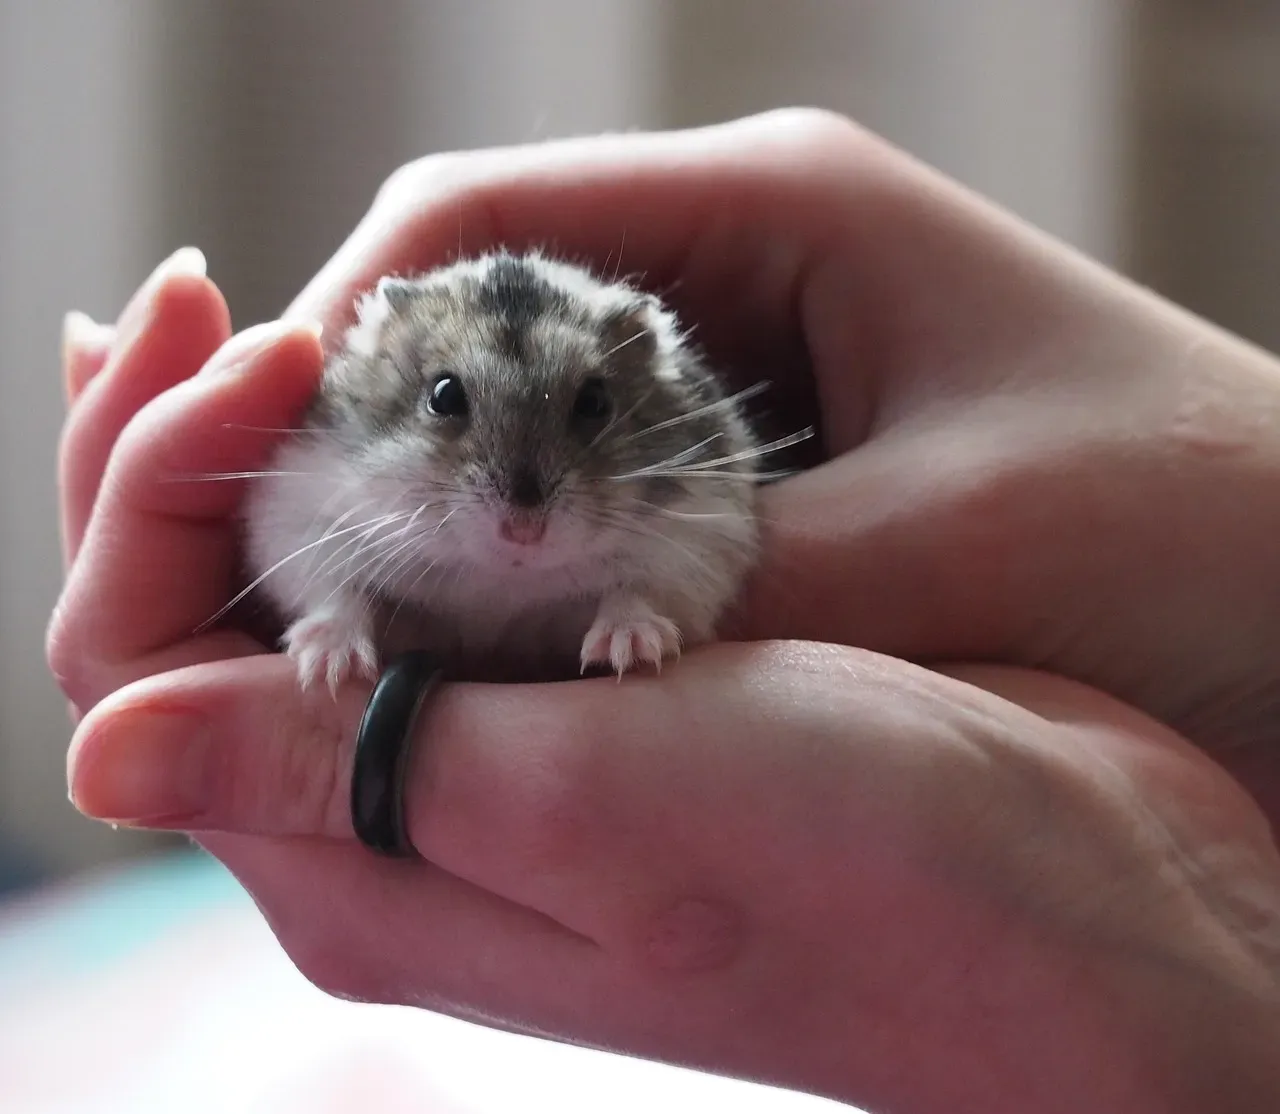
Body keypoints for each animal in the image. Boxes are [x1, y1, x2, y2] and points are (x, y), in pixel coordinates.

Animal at [241, 249, 792, 692]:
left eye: (595, 402)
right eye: (443, 395)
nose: (523, 532)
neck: (501, 581)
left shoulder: (702, 540)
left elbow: (637, 589)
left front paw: (631, 651)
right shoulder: (300, 518)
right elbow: (337, 591)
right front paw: (329, 670)